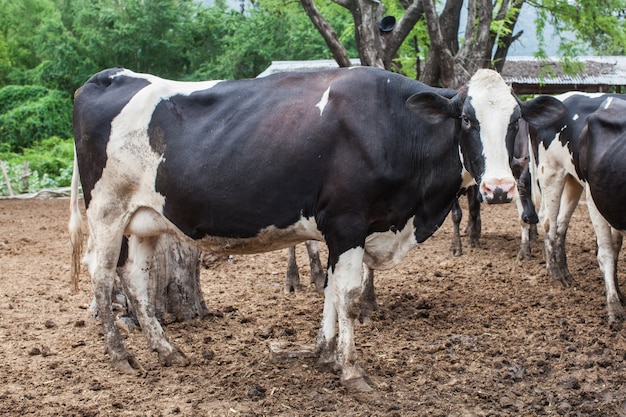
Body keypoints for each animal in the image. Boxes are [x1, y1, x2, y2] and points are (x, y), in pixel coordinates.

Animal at [70, 67, 564, 390]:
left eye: (516, 121)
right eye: (466, 119)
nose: (499, 188)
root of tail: (108, 75)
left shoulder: (343, 230)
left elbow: (330, 290)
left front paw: (323, 352)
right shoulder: (347, 223)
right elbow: (347, 293)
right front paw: (352, 370)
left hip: (144, 220)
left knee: (135, 280)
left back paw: (167, 351)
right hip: (107, 210)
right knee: (102, 275)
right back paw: (121, 357)